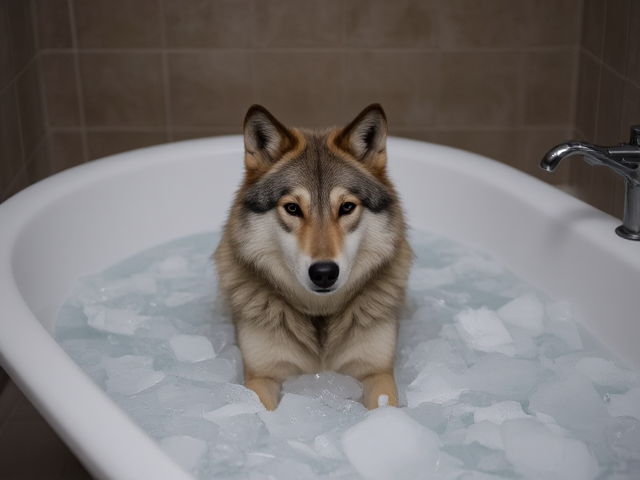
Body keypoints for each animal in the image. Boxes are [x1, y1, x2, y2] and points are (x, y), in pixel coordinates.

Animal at [214, 104, 413, 411]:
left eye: (346, 207)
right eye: (293, 208)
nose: (324, 272)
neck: (320, 316)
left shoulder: (376, 372)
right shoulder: (262, 376)